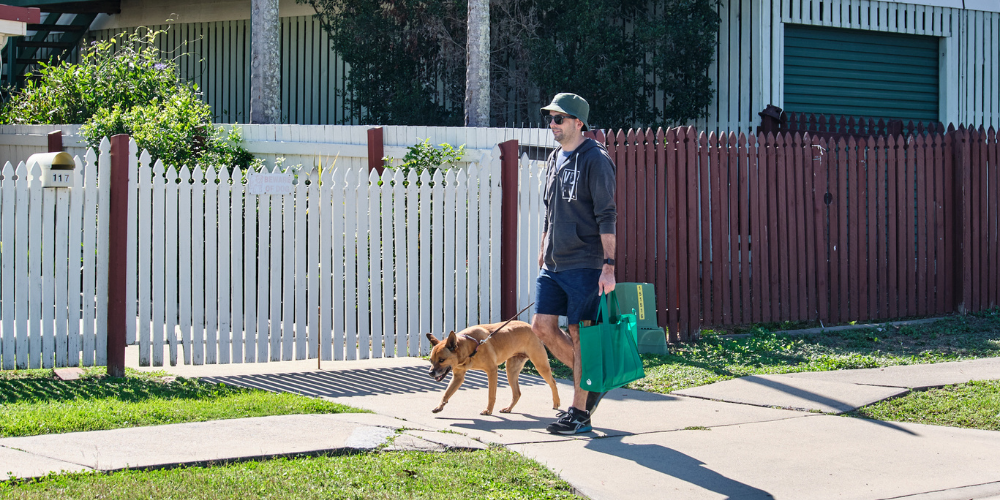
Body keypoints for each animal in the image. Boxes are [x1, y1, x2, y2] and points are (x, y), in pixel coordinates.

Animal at [424, 320, 560, 414]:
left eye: (442, 360)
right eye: (431, 360)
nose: (430, 373)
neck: (470, 347)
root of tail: (530, 326)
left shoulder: (492, 371)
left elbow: (491, 395)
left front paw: (488, 411)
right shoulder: (458, 377)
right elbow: (446, 393)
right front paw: (439, 406)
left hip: (540, 365)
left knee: (553, 382)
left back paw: (556, 402)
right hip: (511, 371)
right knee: (517, 393)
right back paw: (508, 408)